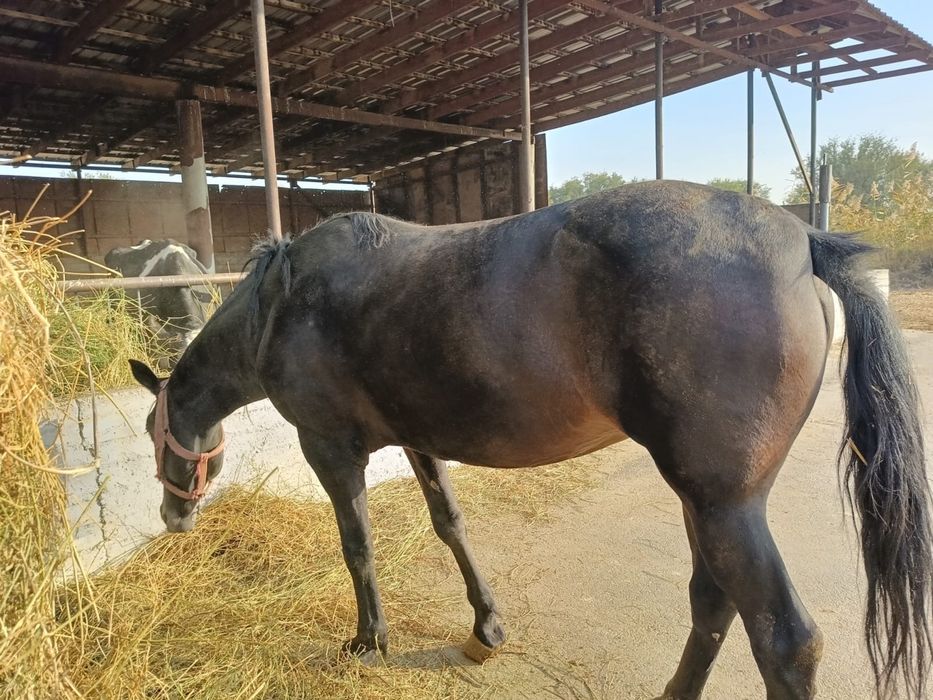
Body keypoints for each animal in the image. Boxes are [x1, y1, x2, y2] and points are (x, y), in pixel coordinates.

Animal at [129, 181, 931, 699]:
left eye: (151, 431)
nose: (173, 517)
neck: (284, 303)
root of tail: (802, 239)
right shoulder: (417, 438)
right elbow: (449, 523)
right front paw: (486, 628)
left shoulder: (329, 447)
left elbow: (356, 544)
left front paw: (367, 641)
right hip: (710, 505)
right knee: (713, 603)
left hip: (723, 504)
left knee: (783, 640)